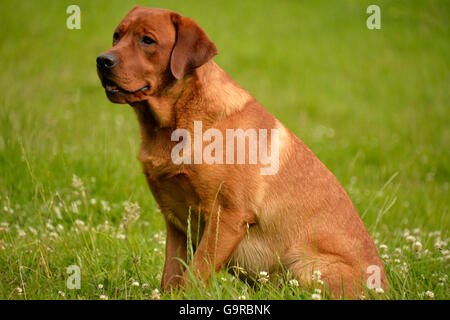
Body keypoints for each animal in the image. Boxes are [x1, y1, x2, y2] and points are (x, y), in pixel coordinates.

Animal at [97, 6, 386, 298]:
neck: (172, 127)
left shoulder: (227, 216)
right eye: (116, 36)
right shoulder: (176, 222)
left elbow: (194, 275)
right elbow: (171, 277)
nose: (102, 60)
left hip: (304, 266)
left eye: (148, 40)